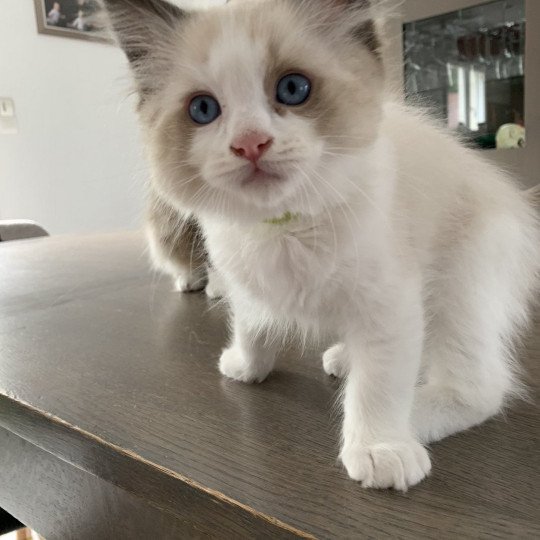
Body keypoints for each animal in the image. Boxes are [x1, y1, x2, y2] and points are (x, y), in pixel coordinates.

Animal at [102, 0, 540, 490]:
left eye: (293, 89)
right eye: (203, 109)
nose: (250, 143)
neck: (284, 226)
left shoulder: (391, 303)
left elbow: (378, 386)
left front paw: (378, 447)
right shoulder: (248, 284)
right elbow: (252, 327)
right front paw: (246, 367)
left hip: (458, 289)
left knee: (479, 389)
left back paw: (411, 418)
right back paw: (344, 358)